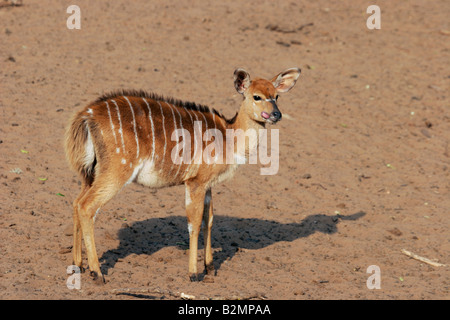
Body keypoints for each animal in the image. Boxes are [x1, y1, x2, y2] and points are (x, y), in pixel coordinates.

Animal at [63, 67, 300, 282]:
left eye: (276, 96)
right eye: (256, 96)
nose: (276, 114)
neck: (229, 136)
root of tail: (86, 116)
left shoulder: (207, 185)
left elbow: (208, 220)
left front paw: (210, 268)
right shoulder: (195, 182)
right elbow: (193, 224)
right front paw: (193, 274)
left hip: (91, 173)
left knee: (76, 203)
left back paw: (78, 266)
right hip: (116, 171)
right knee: (87, 206)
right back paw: (97, 273)